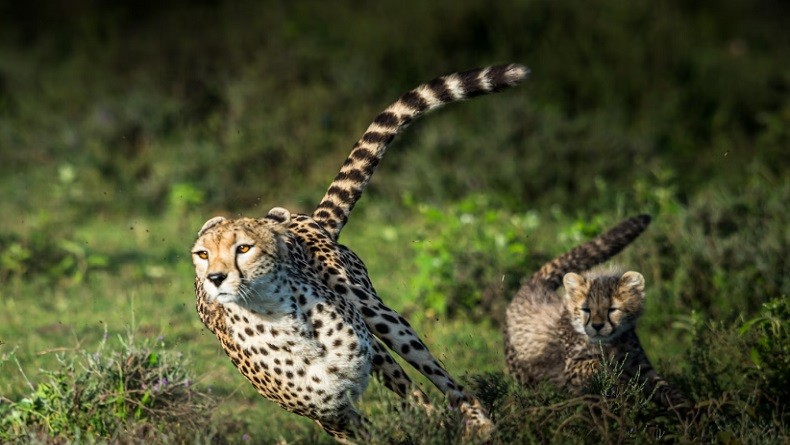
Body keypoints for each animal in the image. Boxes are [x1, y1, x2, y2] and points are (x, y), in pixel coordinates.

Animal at [193, 64, 529, 441]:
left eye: (244, 248)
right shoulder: (330, 415)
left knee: (439, 378)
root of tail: (305, 218)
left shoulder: (367, 358)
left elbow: (419, 403)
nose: (214, 277)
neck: (278, 319)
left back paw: (478, 422)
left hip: (376, 313)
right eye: (202, 254)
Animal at [504, 214, 690, 411]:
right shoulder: (572, 366)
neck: (609, 344)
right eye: (586, 309)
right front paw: (619, 382)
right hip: (523, 376)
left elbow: (663, 387)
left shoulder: (639, 364)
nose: (597, 326)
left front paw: (687, 408)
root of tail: (534, 285)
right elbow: (597, 365)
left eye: (612, 309)